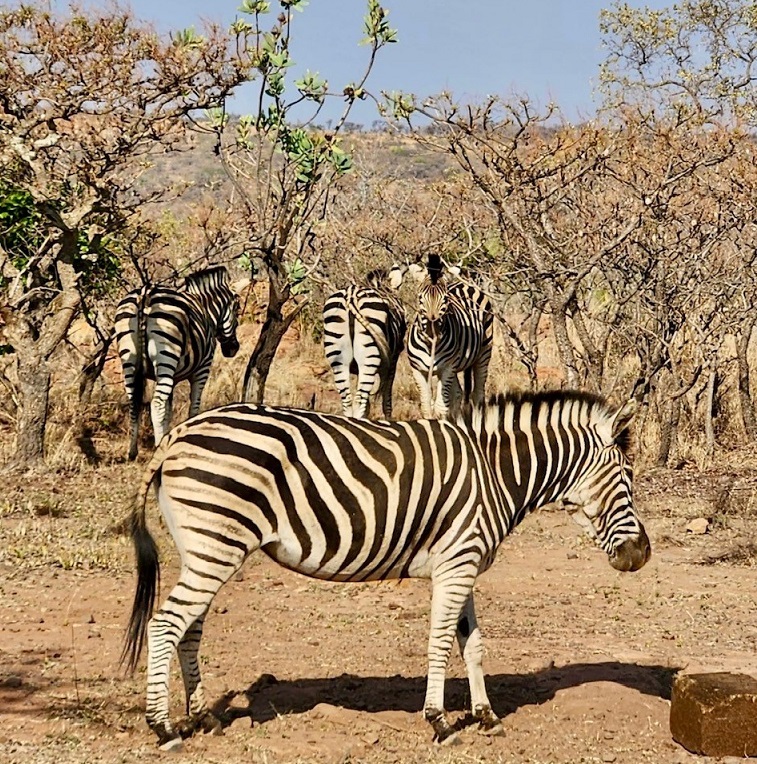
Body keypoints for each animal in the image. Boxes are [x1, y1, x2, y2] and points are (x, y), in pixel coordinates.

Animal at [114, 265, 240, 461]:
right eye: (237, 310)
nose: (233, 349)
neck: (207, 310)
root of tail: (146, 292)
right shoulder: (202, 369)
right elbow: (193, 406)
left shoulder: (171, 378)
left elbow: (168, 411)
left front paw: (167, 437)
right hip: (167, 354)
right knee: (156, 404)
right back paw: (156, 448)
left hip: (130, 358)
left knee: (134, 402)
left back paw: (132, 452)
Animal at [121, 389, 650, 749]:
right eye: (626, 479)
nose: (640, 555)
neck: (495, 474)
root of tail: (179, 432)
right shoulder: (456, 563)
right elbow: (441, 642)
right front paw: (440, 722)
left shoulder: (463, 562)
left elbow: (472, 644)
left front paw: (485, 715)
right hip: (216, 545)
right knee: (166, 624)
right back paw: (164, 727)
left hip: (205, 548)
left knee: (189, 629)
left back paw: (204, 718)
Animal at [323, 265, 407, 418]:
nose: (402, 345)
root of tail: (351, 295)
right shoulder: (393, 361)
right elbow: (387, 398)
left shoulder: (356, 369)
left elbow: (367, 405)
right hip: (369, 358)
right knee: (359, 401)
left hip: (338, 357)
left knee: (348, 401)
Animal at [407, 255, 493, 420]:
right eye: (420, 299)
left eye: (445, 299)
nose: (433, 333)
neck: (430, 346)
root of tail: (464, 283)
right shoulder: (418, 370)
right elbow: (426, 407)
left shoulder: (447, 368)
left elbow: (440, 408)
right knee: (459, 393)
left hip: (483, 353)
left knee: (478, 394)